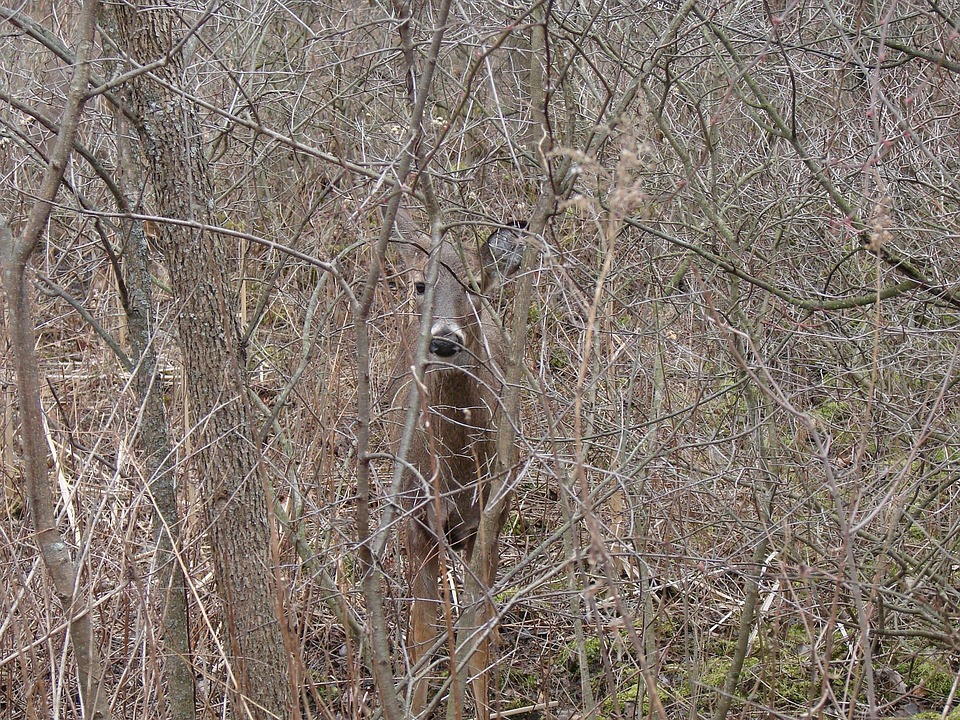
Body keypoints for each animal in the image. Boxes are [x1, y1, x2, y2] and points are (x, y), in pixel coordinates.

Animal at [385, 206, 525, 719]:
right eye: (419, 284)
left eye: (472, 283)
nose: (444, 342)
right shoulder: (416, 521)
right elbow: (422, 636)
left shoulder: (489, 519)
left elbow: (472, 639)